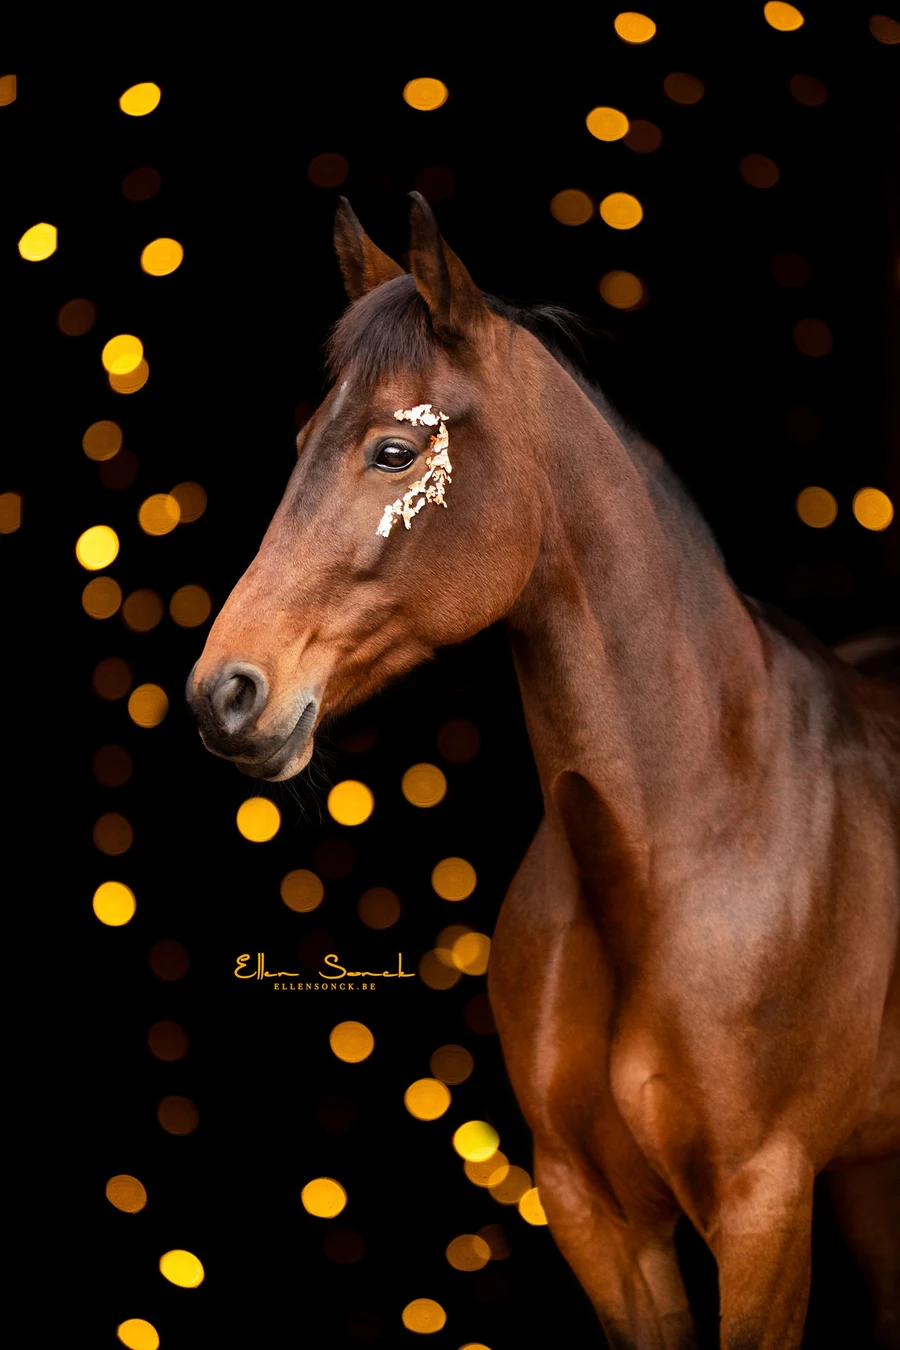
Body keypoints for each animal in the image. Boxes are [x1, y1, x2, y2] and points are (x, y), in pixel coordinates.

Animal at [186, 195, 895, 1344]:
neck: (695, 837)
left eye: (393, 450)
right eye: (299, 444)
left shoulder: (765, 1208)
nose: (225, 694)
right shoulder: (594, 1214)